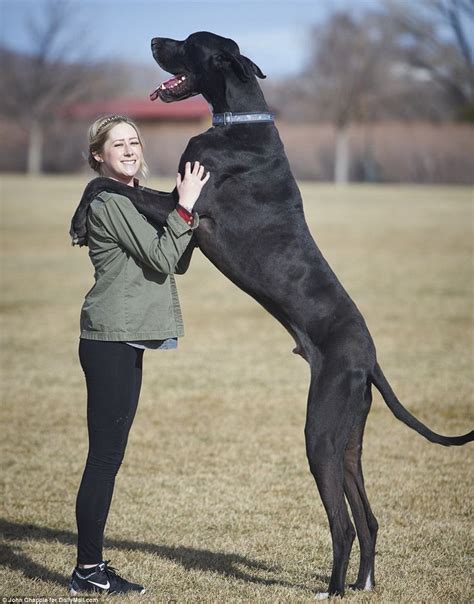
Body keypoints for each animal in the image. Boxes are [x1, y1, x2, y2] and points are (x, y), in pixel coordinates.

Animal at [68, 31, 472, 596]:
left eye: (188, 43)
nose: (153, 39)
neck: (239, 119)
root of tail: (368, 359)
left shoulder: (187, 208)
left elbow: (104, 185)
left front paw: (81, 219)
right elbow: (115, 186)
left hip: (319, 432)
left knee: (343, 523)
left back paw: (332, 588)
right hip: (349, 437)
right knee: (368, 517)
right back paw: (363, 583)